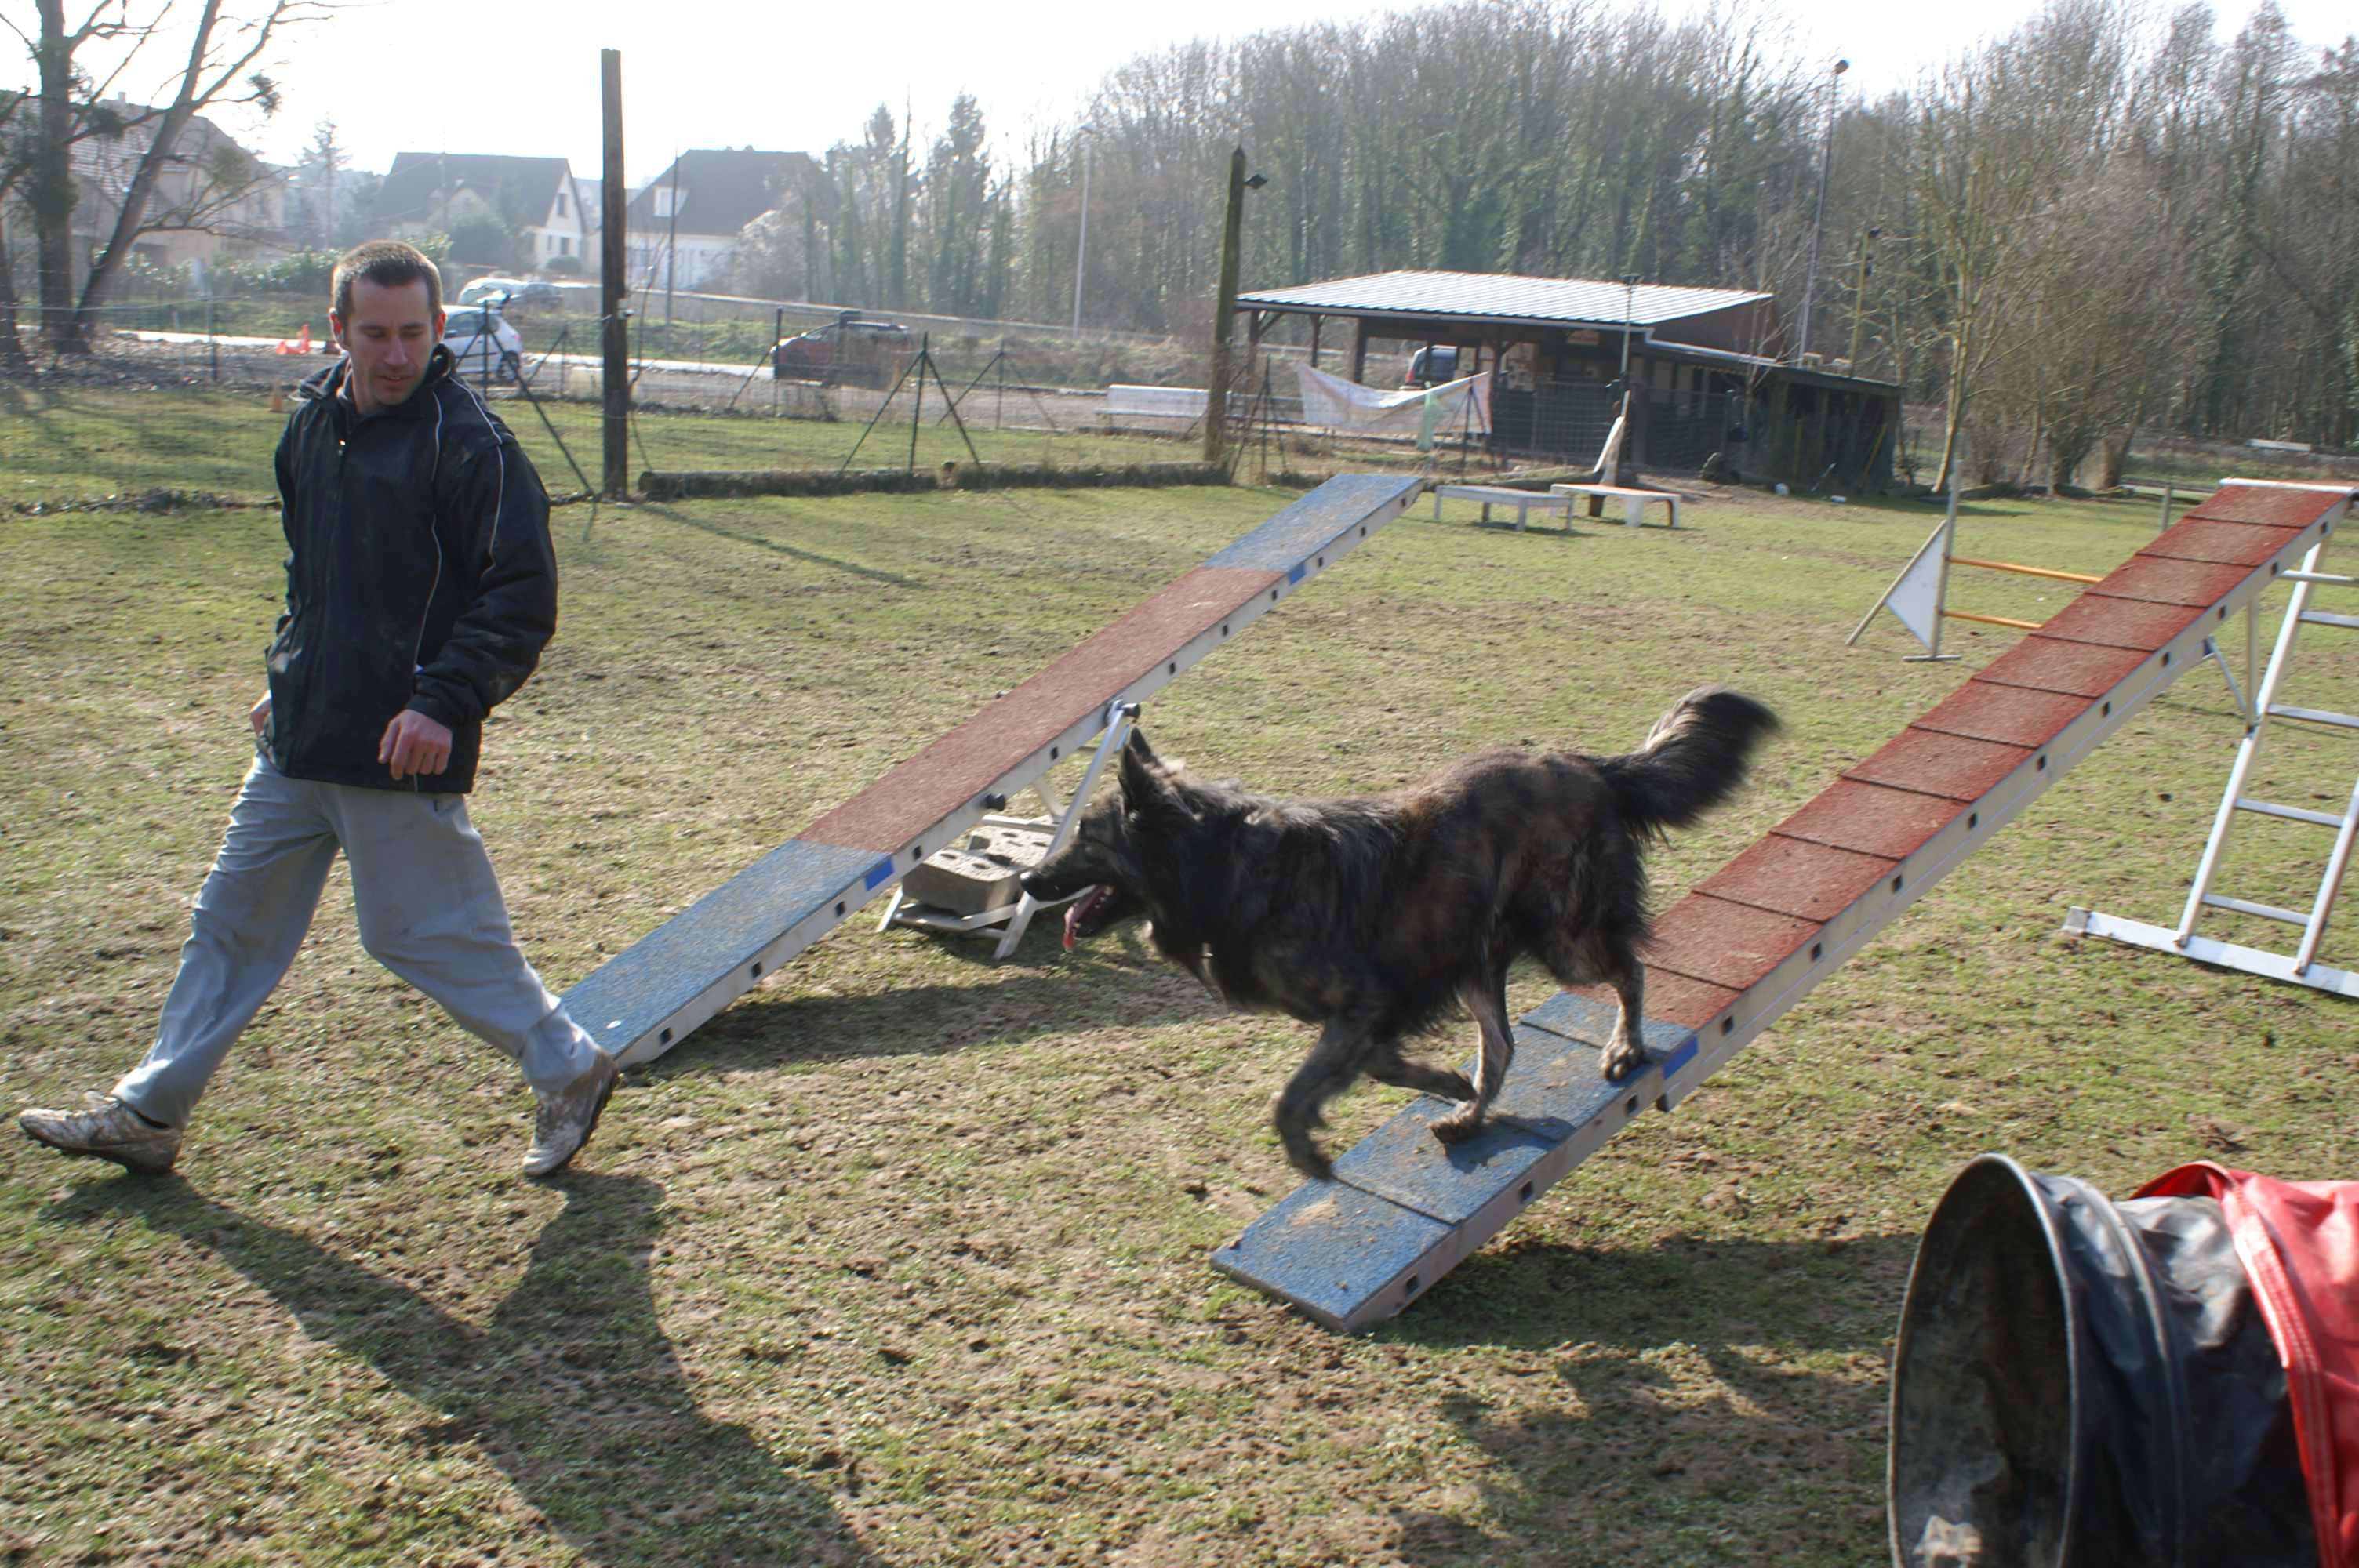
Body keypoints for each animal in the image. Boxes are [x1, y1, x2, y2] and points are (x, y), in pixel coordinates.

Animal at [1020, 687, 1779, 1180]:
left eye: (1088, 838)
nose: (1028, 880)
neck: (1224, 865)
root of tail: (1593, 766)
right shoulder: (1385, 1000)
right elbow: (1381, 1064)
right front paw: (1442, 1081)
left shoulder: (1366, 1001)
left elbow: (1293, 1093)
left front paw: (1306, 1149)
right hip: (1474, 956)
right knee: (1503, 1047)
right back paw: (1470, 1115)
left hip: (1566, 939)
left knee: (1630, 969)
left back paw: (1626, 1047)